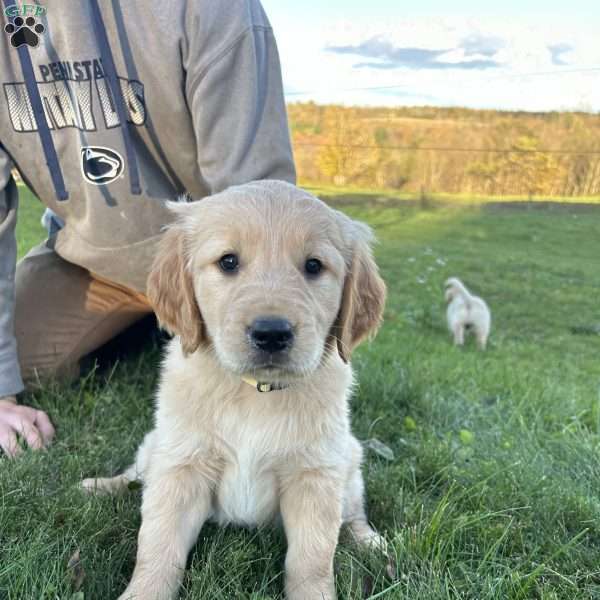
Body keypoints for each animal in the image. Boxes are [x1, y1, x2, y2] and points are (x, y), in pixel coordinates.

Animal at [82, 180, 386, 596]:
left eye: (313, 266)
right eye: (228, 262)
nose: (271, 333)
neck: (255, 391)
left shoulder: (315, 475)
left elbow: (312, 560)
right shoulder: (182, 467)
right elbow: (158, 547)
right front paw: (143, 592)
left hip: (350, 462)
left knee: (353, 512)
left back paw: (368, 540)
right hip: (157, 445)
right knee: (135, 474)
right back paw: (99, 485)